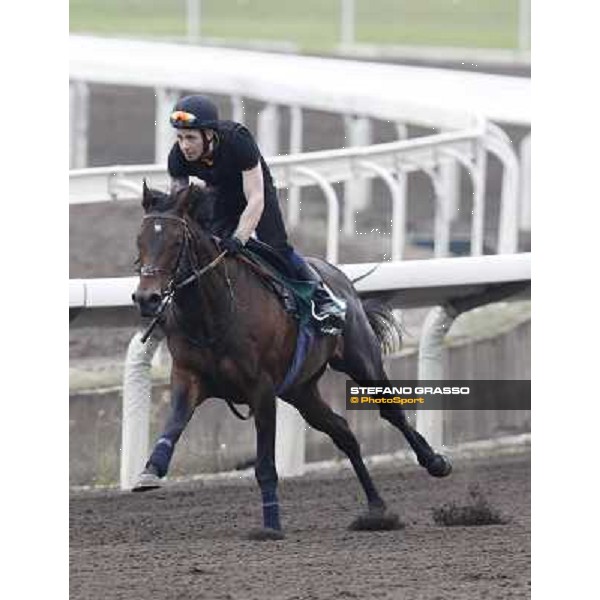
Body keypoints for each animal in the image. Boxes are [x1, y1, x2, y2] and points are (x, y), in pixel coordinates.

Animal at [131, 183, 450, 540]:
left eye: (175, 242)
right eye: (139, 240)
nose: (147, 298)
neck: (212, 314)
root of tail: (339, 277)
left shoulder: (261, 389)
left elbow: (265, 465)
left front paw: (271, 525)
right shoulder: (188, 377)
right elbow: (173, 424)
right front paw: (150, 471)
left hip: (361, 362)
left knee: (391, 411)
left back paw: (434, 461)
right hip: (301, 391)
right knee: (343, 432)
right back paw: (377, 507)